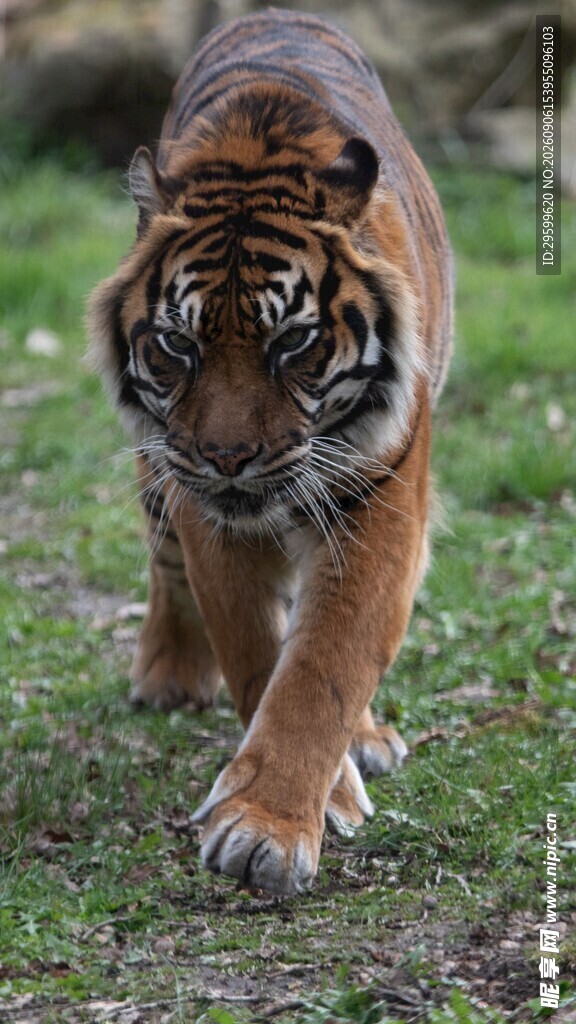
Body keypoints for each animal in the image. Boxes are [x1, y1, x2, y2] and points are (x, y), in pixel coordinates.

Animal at [88, 8, 453, 895]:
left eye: (291, 343)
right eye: (177, 345)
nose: (228, 458)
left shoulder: (380, 501)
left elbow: (325, 661)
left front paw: (268, 827)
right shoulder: (205, 508)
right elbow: (257, 650)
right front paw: (285, 808)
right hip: (159, 469)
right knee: (165, 561)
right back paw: (168, 674)